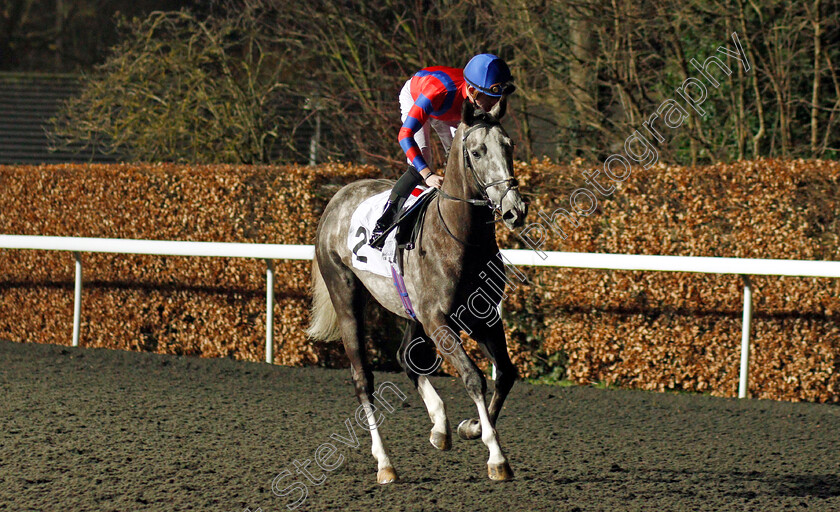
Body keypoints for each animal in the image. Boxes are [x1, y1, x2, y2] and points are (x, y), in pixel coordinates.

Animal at [306, 97, 528, 484]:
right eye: (477, 151)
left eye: (509, 146)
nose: (514, 210)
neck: (461, 238)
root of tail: (337, 197)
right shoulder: (438, 319)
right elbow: (474, 377)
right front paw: (497, 457)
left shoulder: (482, 317)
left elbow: (505, 373)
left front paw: (471, 427)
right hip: (346, 294)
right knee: (363, 379)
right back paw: (385, 463)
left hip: (410, 310)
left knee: (406, 358)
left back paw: (440, 426)